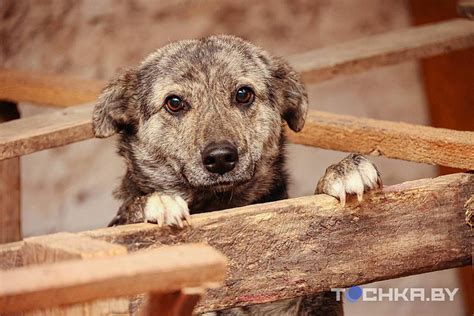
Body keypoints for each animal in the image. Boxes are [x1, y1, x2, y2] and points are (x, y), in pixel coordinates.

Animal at [91, 34, 382, 314]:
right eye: (174, 103)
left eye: (243, 94)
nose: (220, 158)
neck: (218, 207)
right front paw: (154, 203)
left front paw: (341, 171)